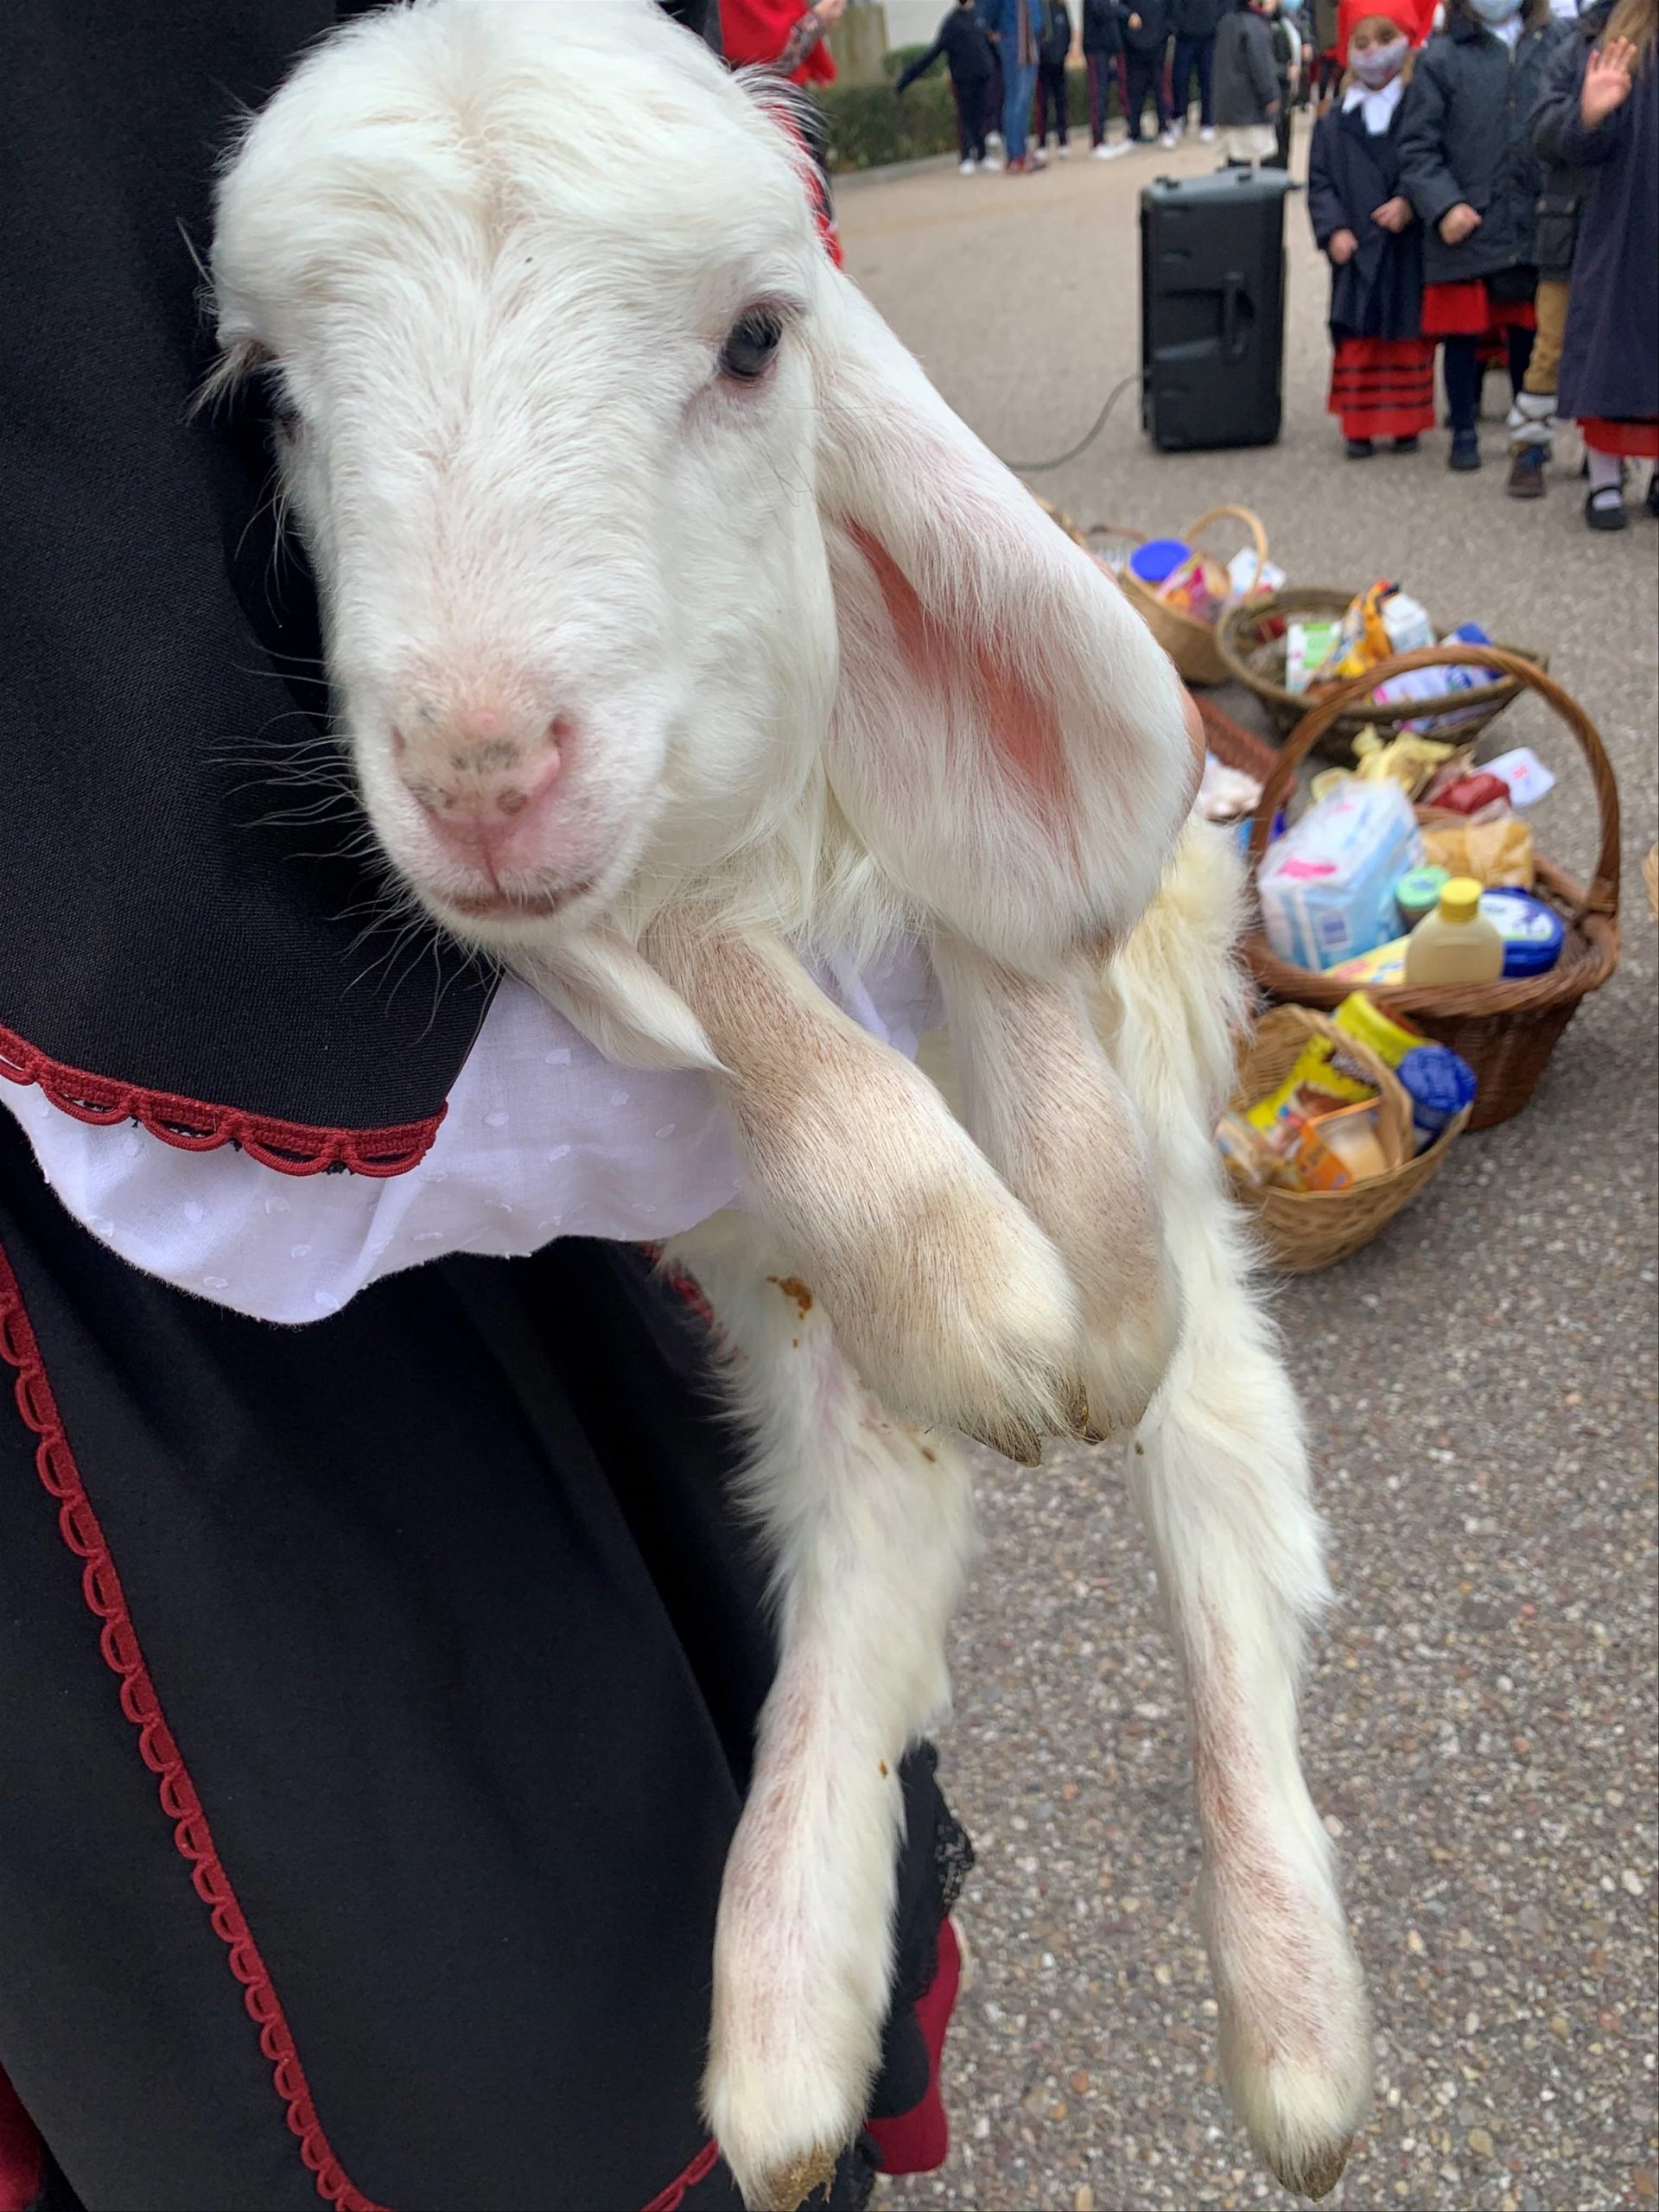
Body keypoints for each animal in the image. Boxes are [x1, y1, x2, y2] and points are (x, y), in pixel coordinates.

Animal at [207, 9, 1380, 2202]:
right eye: (278, 400)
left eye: (761, 340)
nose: (476, 764)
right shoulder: (649, 934)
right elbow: (733, 993)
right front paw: (994, 1308)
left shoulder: (992, 926)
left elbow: (1027, 1019)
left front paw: (1079, 1320)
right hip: (774, 1315)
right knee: (867, 1552)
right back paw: (777, 2037)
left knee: (1218, 1502)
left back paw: (1293, 2035)